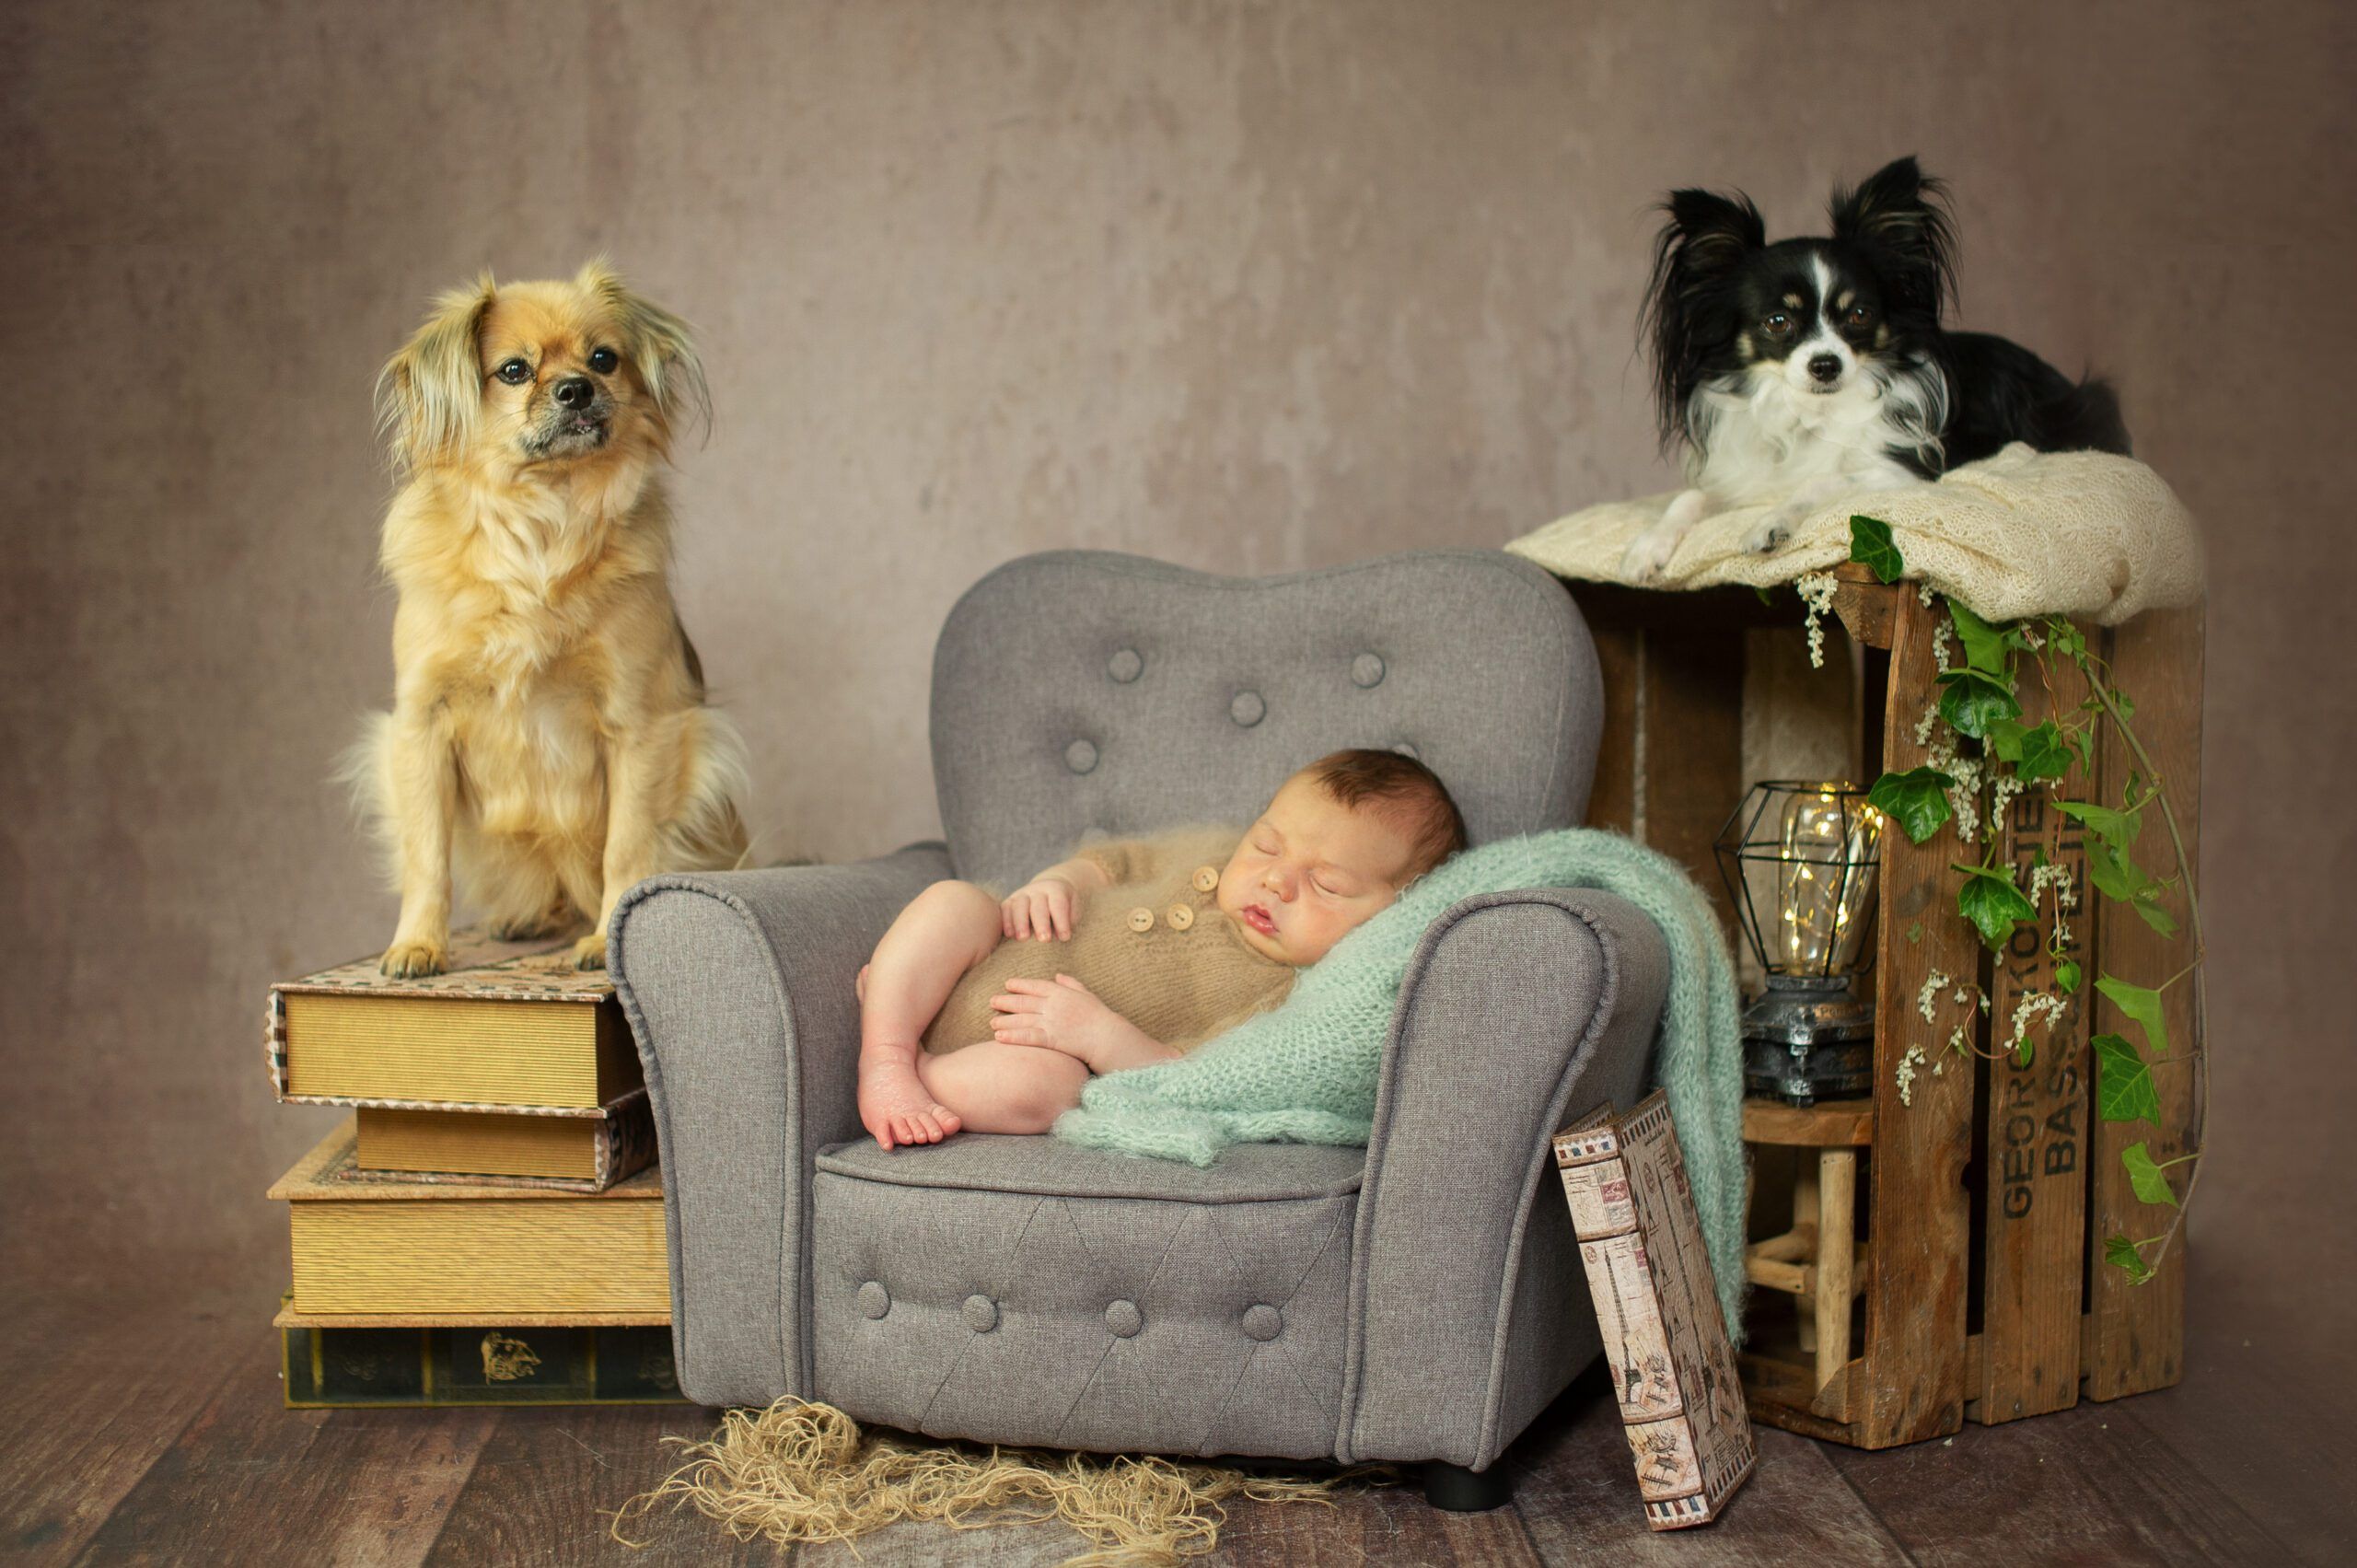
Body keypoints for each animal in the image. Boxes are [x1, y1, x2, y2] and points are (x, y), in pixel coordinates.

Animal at [351, 262, 744, 971]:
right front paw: (417, 943)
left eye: (604, 359)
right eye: (513, 370)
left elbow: (628, 844)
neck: (540, 522)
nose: (577, 388)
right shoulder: (421, 730)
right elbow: (427, 856)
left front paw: (608, 938)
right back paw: (530, 916)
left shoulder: (638, 728)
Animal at [1621, 157, 2140, 579]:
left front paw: (1770, 523)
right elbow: (1690, 496)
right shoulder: (1743, 478)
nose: (1826, 364)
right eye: (1777, 322)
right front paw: (1646, 547)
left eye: (1859, 315)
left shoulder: (1904, 473)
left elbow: (1820, 480)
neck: (1811, 416)